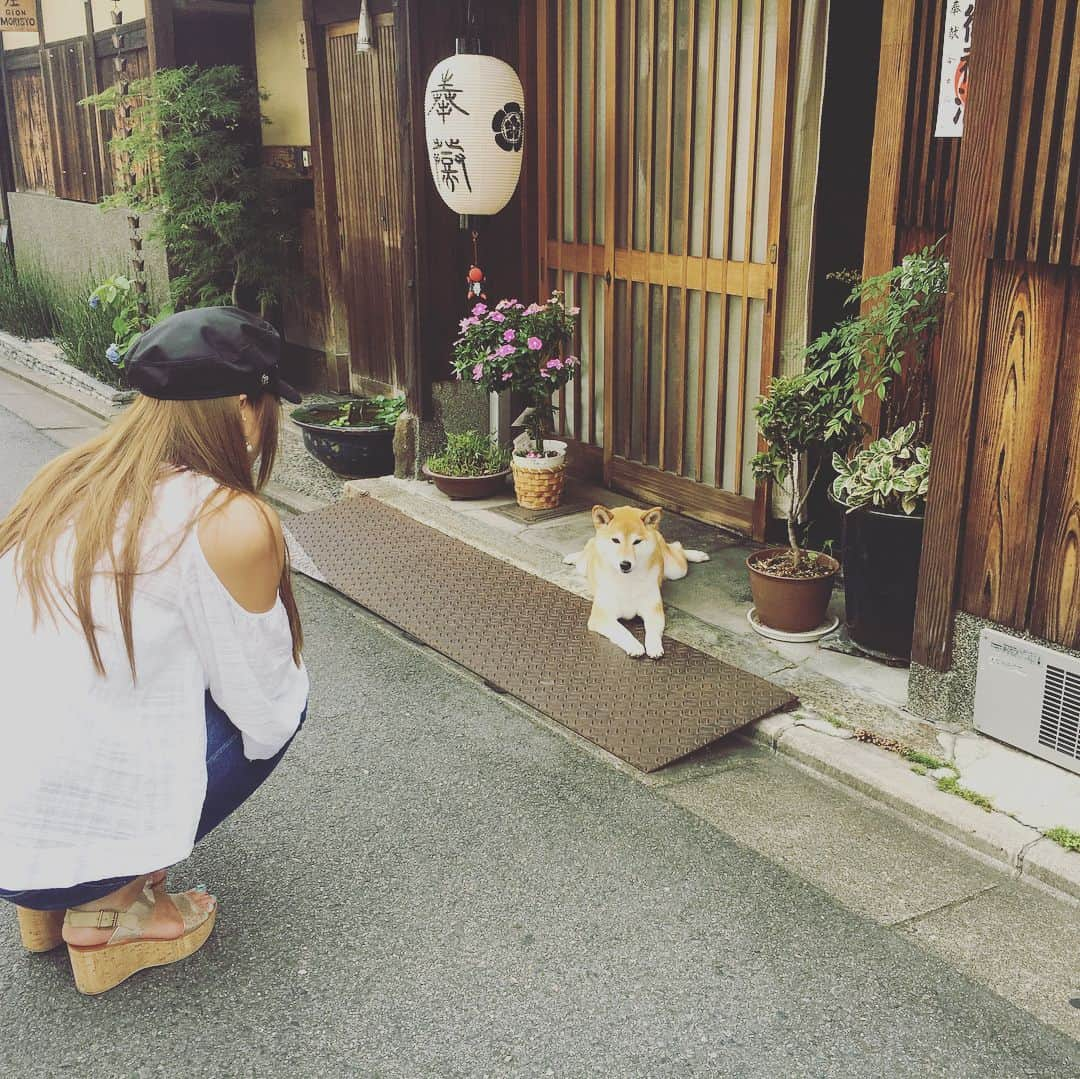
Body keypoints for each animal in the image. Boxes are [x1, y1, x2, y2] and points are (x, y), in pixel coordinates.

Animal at [561, 505, 712, 656]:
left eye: (637, 542)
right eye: (616, 540)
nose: (625, 564)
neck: (627, 581)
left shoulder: (653, 610)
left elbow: (652, 630)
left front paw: (654, 646)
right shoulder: (601, 616)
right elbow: (621, 631)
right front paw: (634, 645)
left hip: (676, 570)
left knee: (677, 547)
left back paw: (697, 555)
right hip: (583, 566)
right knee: (588, 546)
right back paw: (572, 557)